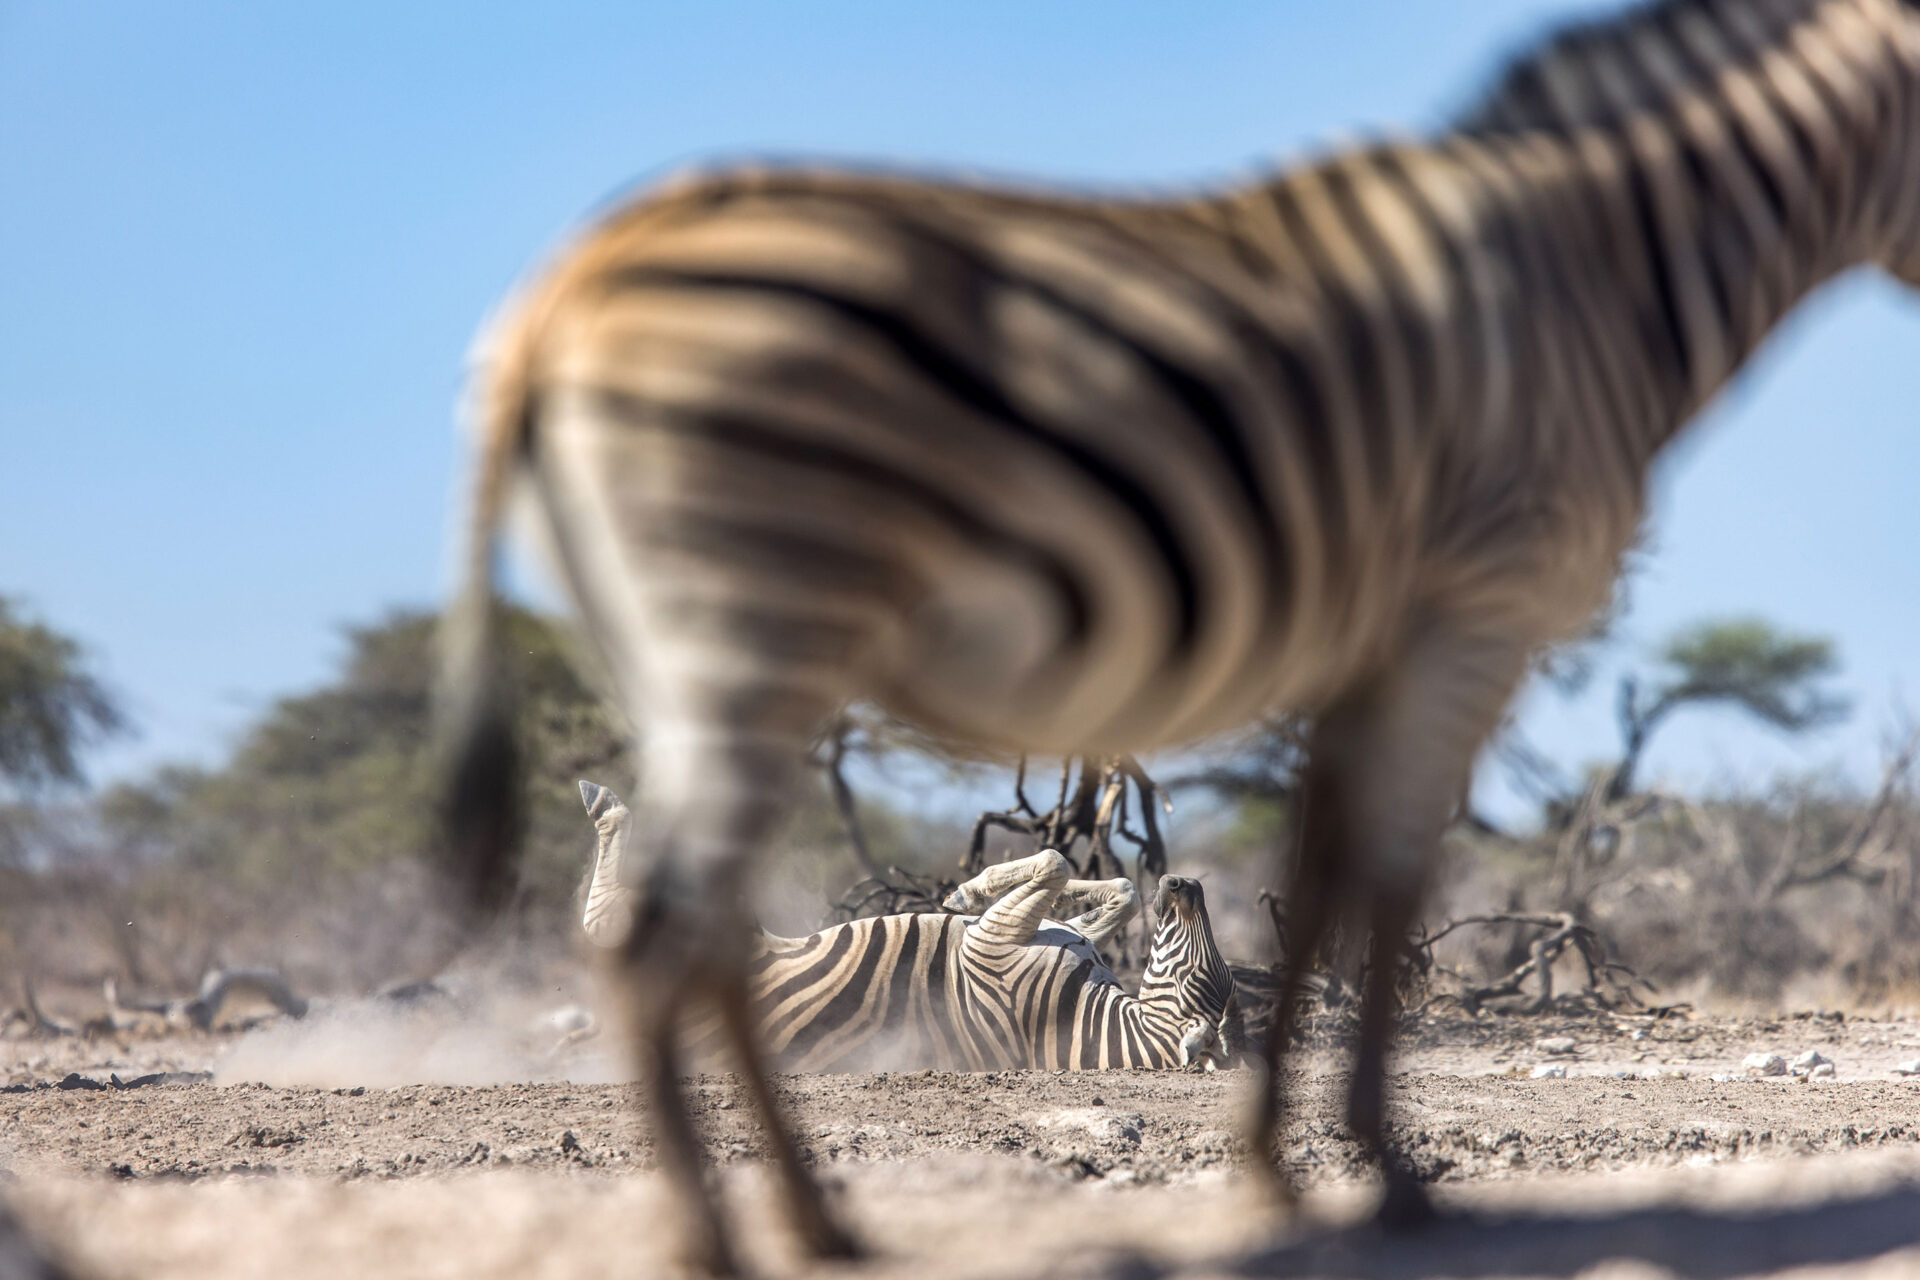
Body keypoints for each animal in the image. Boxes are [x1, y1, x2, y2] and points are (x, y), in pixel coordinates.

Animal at [576, 779, 1243, 1071]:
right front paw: (979, 888)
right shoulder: (1053, 937)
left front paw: (968, 888)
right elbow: (1114, 891)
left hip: (686, 940)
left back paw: (605, 801)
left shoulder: (988, 947)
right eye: (1211, 973)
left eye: (1192, 976)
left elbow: (1052, 860)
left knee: (602, 913)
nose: (1184, 883)